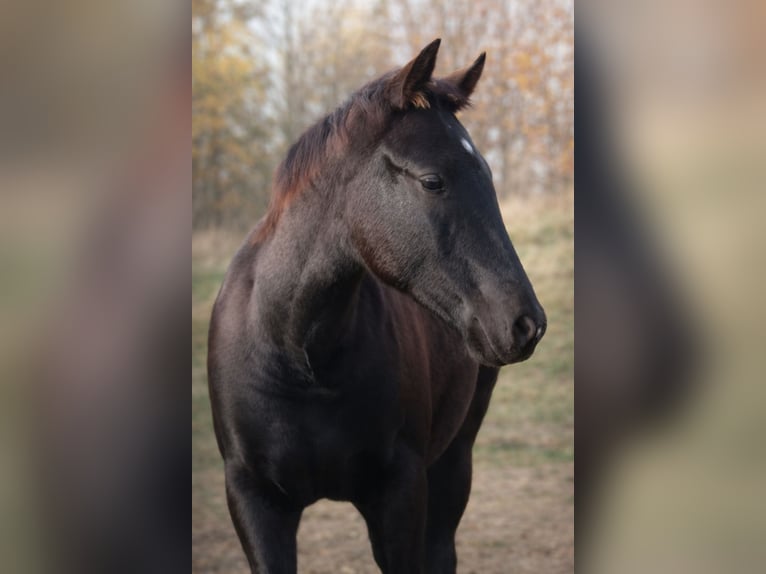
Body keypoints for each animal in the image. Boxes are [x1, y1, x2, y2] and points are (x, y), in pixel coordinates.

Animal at [207, 39, 546, 574]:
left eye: (488, 174)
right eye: (432, 181)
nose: (525, 323)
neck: (297, 354)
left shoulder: (400, 494)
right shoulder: (253, 500)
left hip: (454, 462)